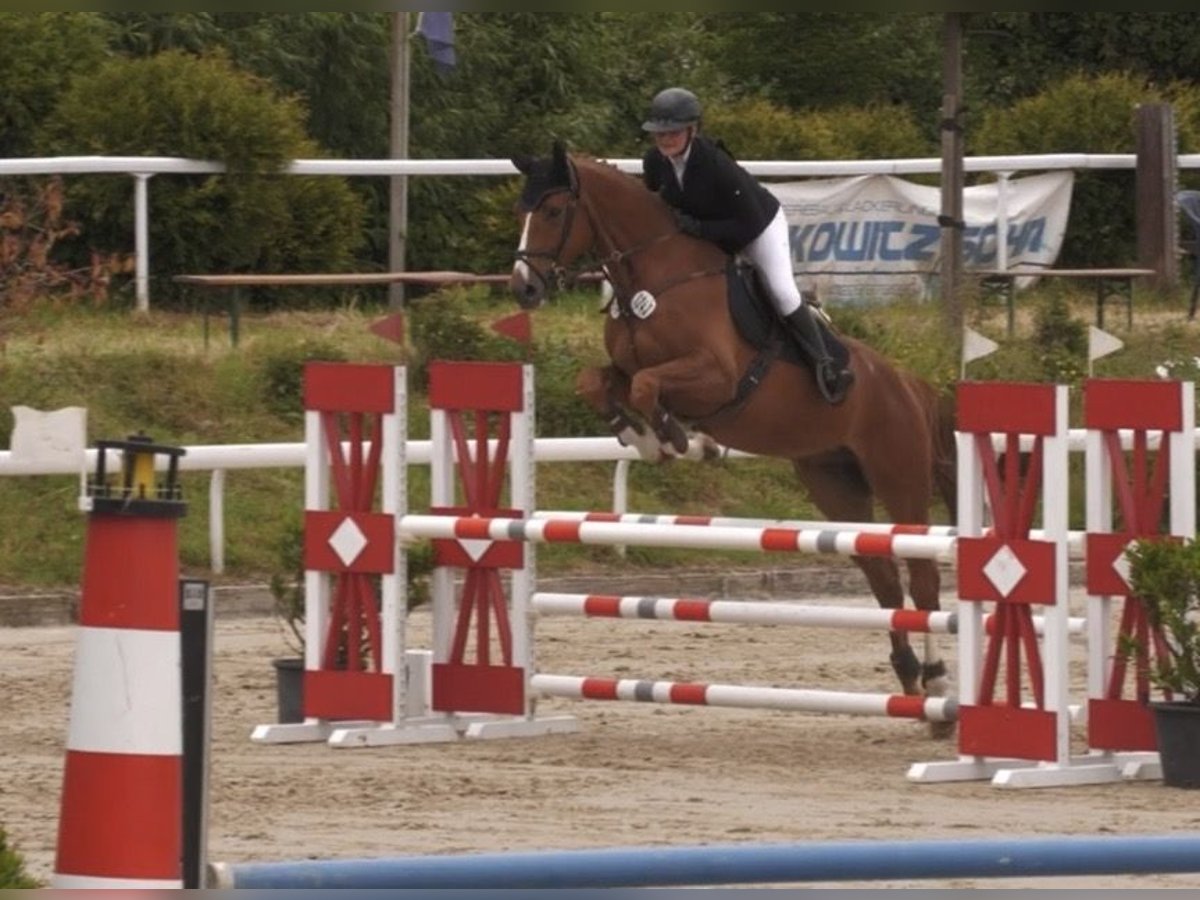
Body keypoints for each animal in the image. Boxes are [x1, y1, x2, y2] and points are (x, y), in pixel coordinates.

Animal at [508, 141, 958, 729]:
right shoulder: (625, 368)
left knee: (922, 575)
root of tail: (910, 384)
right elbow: (599, 382)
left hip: (897, 473)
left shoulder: (716, 376)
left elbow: (650, 387)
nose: (523, 288)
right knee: (880, 572)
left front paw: (676, 440)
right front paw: (644, 437)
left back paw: (938, 686)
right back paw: (910, 680)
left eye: (555, 210)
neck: (652, 277)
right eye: (523, 209)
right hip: (834, 481)